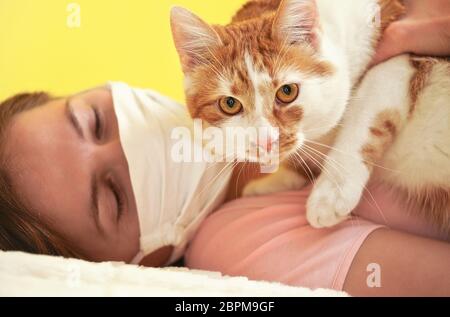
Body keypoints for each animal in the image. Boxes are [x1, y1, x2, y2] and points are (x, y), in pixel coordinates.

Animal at [170, 0, 450, 232]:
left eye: (287, 92)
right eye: (229, 104)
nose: (265, 141)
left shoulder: (404, 57)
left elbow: (365, 107)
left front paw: (331, 193)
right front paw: (276, 180)